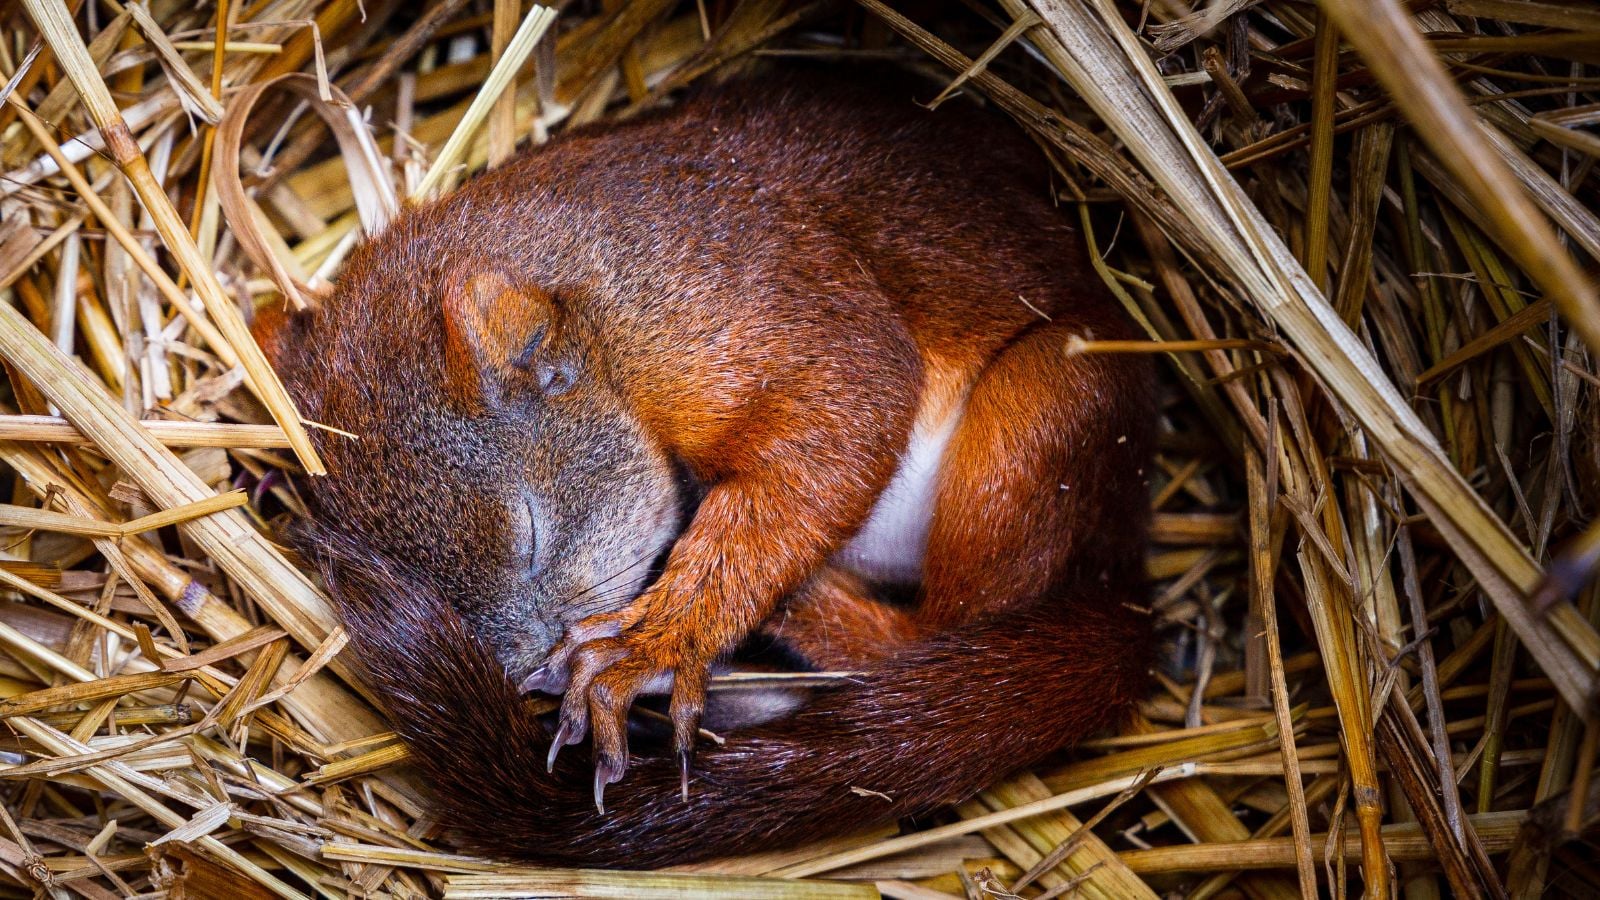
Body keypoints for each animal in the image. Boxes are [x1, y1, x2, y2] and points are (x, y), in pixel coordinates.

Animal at [255, 70, 1156, 867]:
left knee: (946, 624)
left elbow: (848, 411)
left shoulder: (741, 307)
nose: (524, 684)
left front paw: (649, 648)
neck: (596, 283)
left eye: (531, 534)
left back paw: (806, 614)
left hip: (1047, 410)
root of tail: (1126, 567)